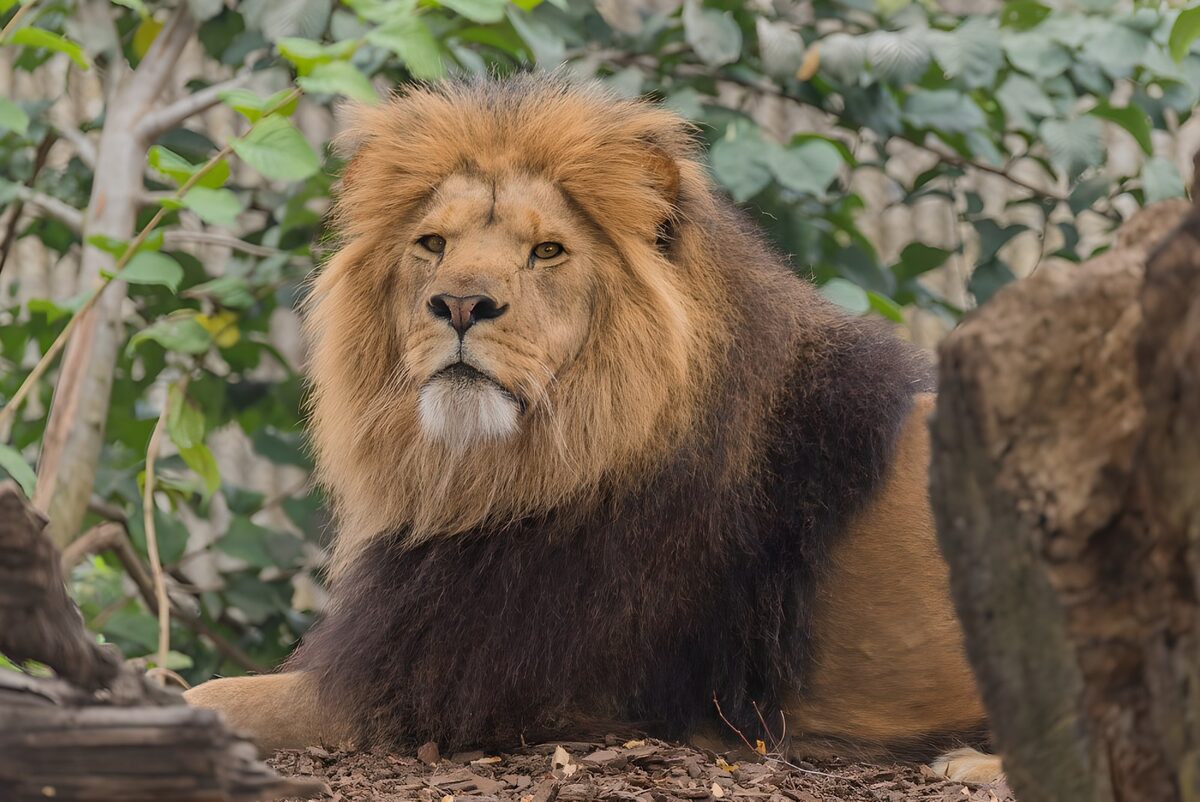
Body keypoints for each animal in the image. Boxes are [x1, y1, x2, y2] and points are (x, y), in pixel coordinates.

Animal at [185, 75, 1001, 783]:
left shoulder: (450, 686)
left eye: (546, 250)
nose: (459, 304)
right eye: (433, 244)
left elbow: (220, 697)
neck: (501, 471)